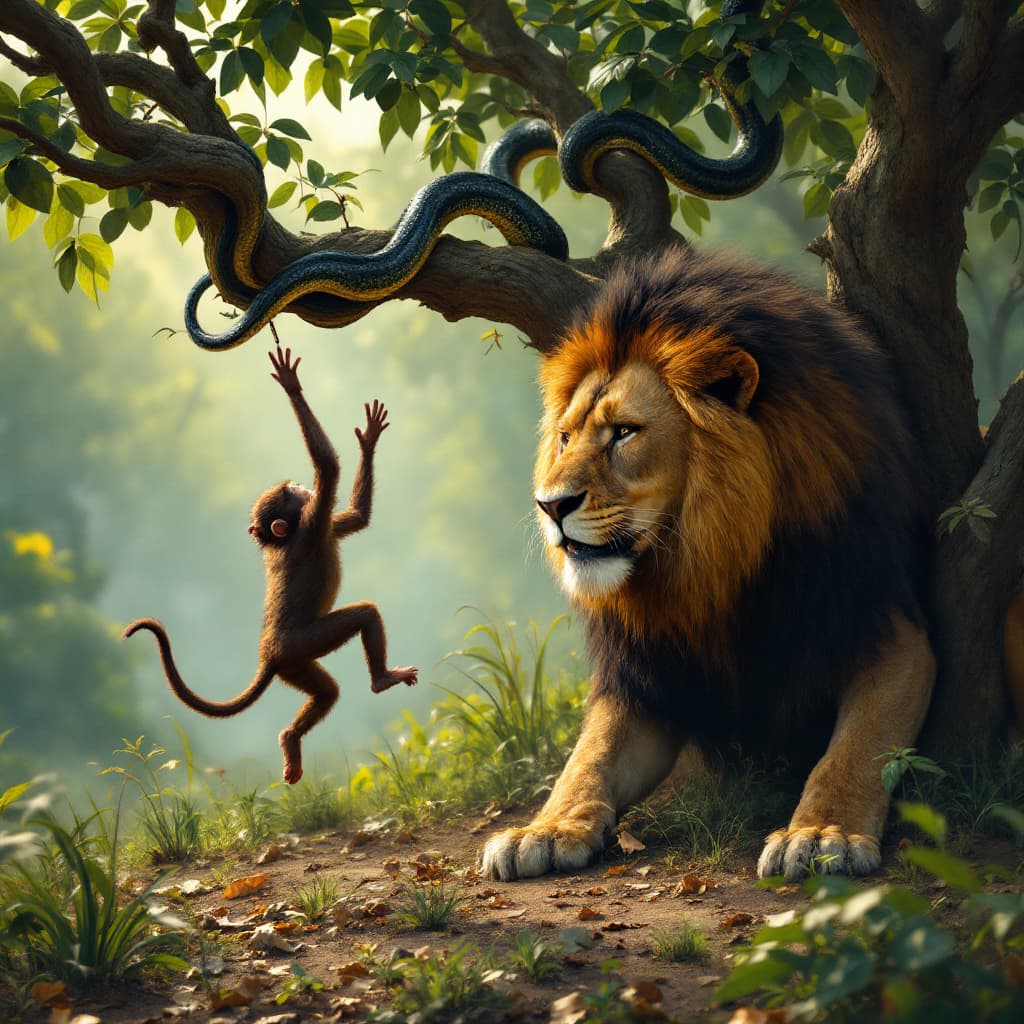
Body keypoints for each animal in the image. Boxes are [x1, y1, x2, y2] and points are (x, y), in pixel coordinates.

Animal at [124, 344, 418, 785]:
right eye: (289, 493)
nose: (298, 485)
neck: (290, 533)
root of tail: (267, 655)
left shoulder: (325, 526)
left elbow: (357, 517)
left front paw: (368, 440)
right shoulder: (314, 523)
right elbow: (328, 466)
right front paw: (291, 384)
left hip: (292, 665)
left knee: (326, 692)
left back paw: (291, 740)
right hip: (301, 644)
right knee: (365, 615)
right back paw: (382, 680)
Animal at [480, 247, 938, 882]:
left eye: (625, 432)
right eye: (566, 437)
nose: (549, 505)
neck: (707, 569)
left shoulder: (886, 627)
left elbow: (856, 748)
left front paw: (821, 835)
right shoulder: (648, 675)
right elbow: (587, 756)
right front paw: (544, 829)